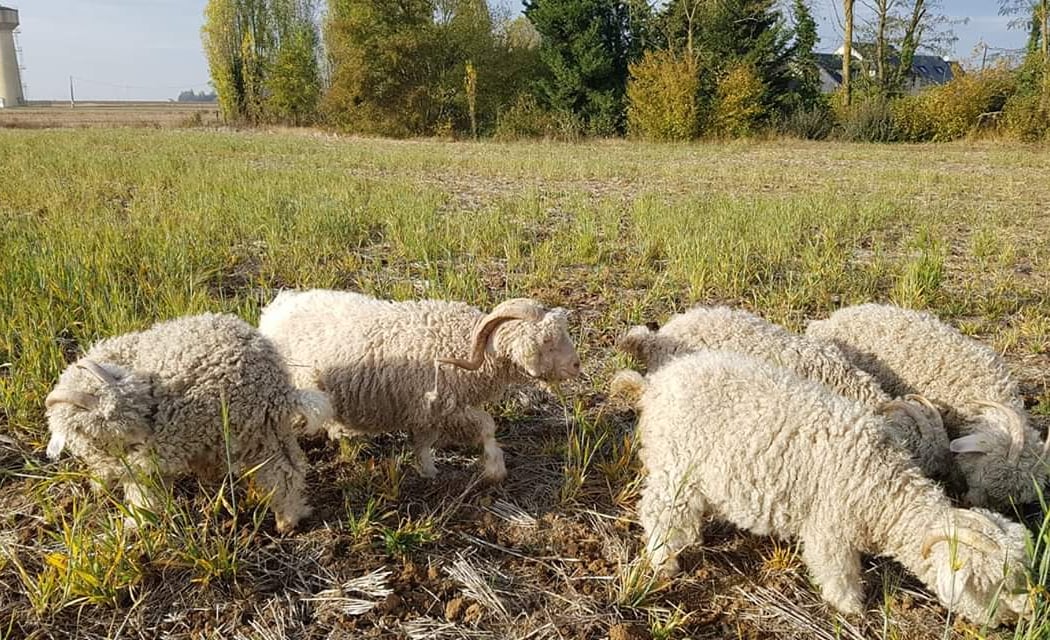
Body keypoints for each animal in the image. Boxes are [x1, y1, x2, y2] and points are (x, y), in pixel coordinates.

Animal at [44, 313, 332, 533]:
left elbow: (142, 494)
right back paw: (292, 516)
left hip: (248, 426)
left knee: (280, 474)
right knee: (286, 469)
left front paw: (135, 524)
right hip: (266, 430)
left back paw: (286, 521)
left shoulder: (145, 464)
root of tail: (275, 386)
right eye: (102, 427)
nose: (145, 438)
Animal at [257, 289, 581, 482]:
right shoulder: (446, 405)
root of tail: (274, 310)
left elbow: (424, 442)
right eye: (547, 341)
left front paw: (428, 471)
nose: (577, 366)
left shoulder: (426, 411)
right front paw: (494, 468)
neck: (462, 343)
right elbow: (487, 426)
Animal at [610, 351, 1031, 626]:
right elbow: (836, 572)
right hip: (675, 465)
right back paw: (664, 561)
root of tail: (657, 383)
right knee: (659, 511)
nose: (1007, 621)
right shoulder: (830, 529)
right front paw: (852, 608)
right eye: (985, 586)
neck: (884, 489)